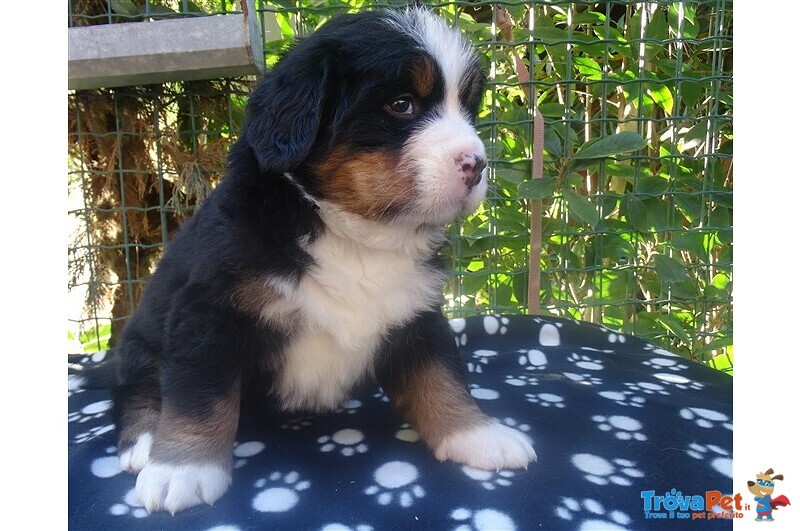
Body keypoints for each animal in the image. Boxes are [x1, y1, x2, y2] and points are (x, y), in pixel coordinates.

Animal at [112, 7, 536, 516]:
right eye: (401, 105)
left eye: (468, 110)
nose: (476, 163)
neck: (357, 235)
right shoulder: (209, 313)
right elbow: (199, 394)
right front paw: (182, 470)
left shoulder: (416, 315)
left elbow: (441, 377)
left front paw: (478, 435)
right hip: (141, 336)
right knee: (138, 389)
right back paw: (145, 443)